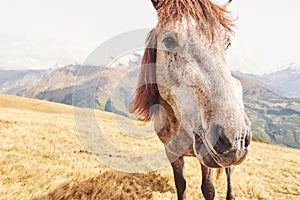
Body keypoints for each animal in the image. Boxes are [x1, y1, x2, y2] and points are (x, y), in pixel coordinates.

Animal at [131, 0, 251, 199]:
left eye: (227, 43)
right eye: (169, 40)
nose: (235, 139)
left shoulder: (205, 157)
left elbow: (208, 189)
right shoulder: (172, 153)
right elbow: (181, 184)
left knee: (229, 171)